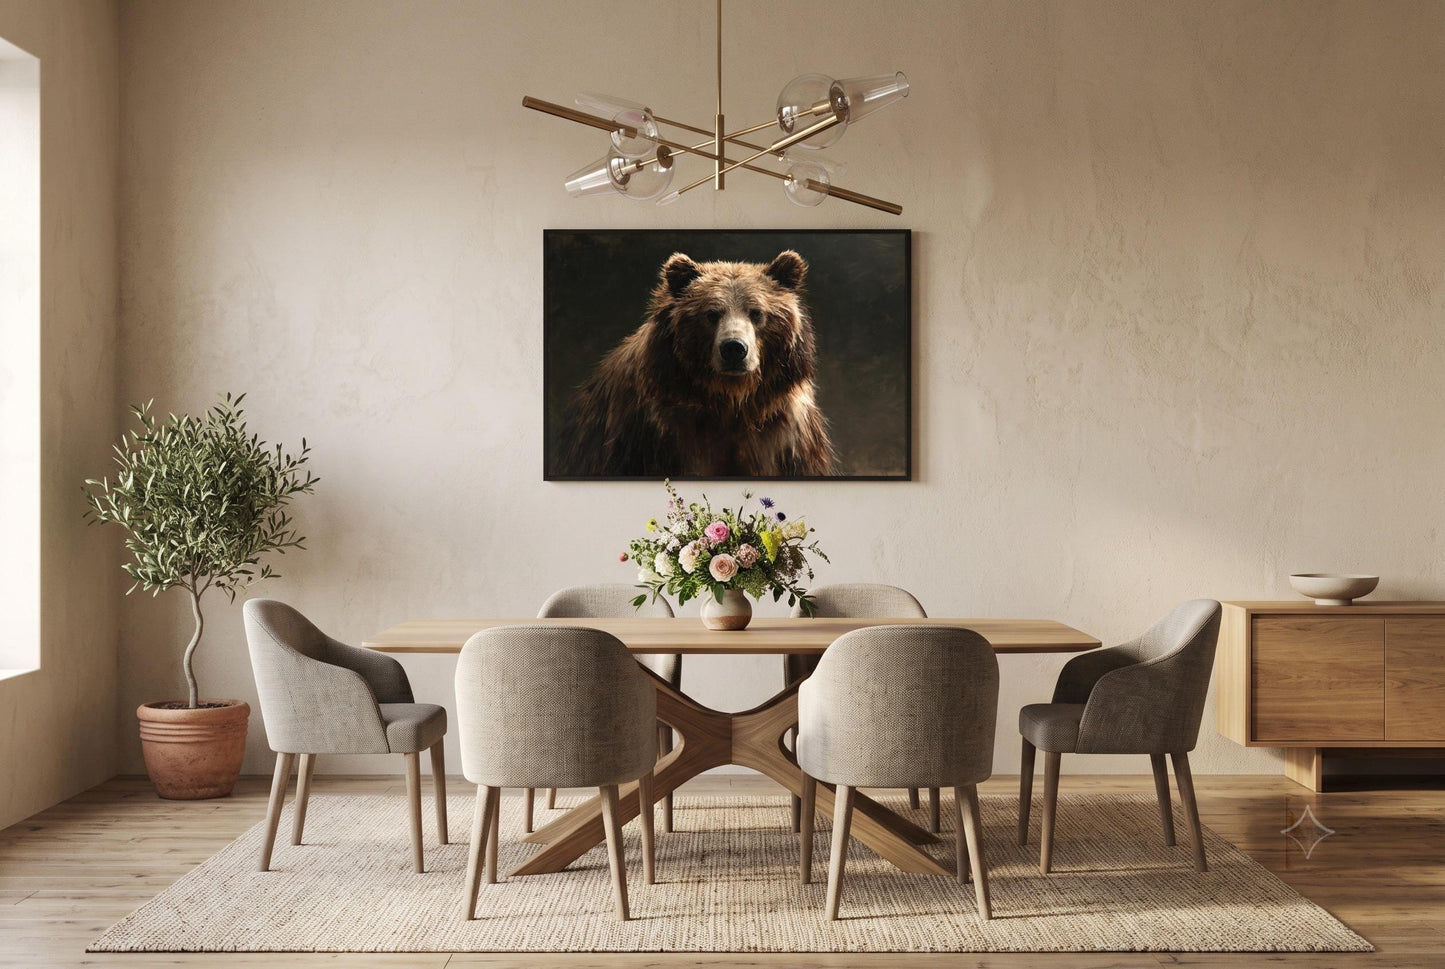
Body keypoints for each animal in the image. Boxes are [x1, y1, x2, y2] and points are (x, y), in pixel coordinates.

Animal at [555, 249, 834, 478]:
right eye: (711, 314)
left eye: (756, 312)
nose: (734, 349)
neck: (729, 401)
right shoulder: (656, 435)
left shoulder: (783, 437)